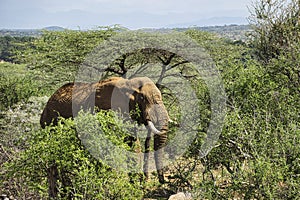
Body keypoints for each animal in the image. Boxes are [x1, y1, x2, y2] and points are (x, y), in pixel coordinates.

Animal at [40, 76, 169, 185]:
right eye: (143, 98)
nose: (162, 181)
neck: (128, 83)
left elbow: (133, 143)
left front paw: (136, 184)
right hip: (50, 121)